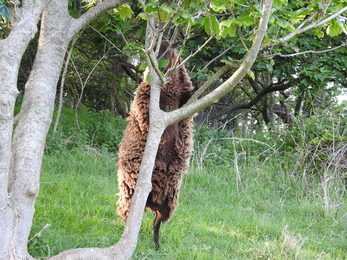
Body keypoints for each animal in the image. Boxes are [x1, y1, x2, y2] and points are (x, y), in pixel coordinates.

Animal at [117, 41, 196, 250]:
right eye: (154, 51)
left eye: (168, 51)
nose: (158, 67)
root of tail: (152, 201)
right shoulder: (146, 98)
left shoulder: (185, 101)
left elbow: (189, 99)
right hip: (132, 192)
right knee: (129, 216)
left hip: (169, 201)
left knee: (156, 223)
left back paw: (157, 245)